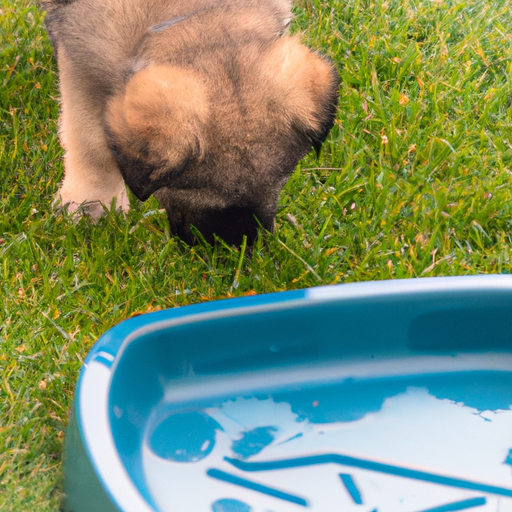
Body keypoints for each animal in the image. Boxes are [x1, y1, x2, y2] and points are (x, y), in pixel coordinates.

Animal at [43, 0, 340, 246]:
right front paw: (91, 204)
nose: (236, 249)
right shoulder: (80, 55)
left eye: (283, 176)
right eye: (187, 185)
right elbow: (90, 140)